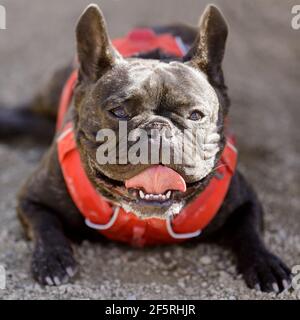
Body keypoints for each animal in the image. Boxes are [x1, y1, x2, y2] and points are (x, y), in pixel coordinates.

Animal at [0, 3, 290, 292]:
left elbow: (249, 230)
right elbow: (45, 225)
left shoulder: (245, 200)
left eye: (196, 115)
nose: (158, 129)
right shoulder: (32, 198)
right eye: (118, 112)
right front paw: (53, 259)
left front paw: (265, 263)